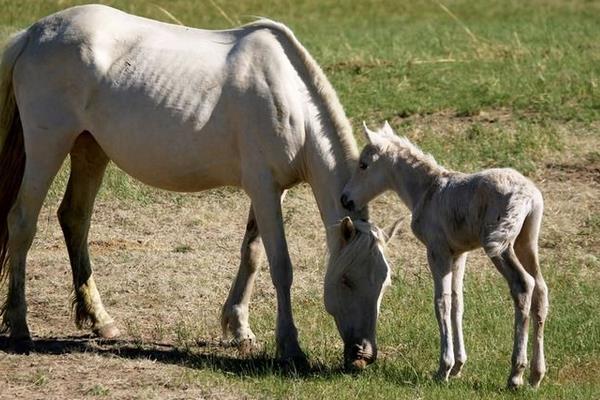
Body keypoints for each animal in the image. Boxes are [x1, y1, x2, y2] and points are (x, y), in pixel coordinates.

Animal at [0, 5, 394, 368]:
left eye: (384, 282)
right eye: (347, 280)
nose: (363, 355)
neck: (289, 97)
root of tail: (34, 33)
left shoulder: (269, 191)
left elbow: (251, 254)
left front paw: (239, 329)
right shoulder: (264, 189)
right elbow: (281, 265)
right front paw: (290, 347)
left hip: (90, 148)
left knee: (75, 218)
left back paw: (101, 321)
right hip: (48, 145)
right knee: (22, 222)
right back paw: (20, 327)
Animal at [340, 122, 548, 388]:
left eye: (364, 165)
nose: (346, 199)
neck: (427, 190)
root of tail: (527, 196)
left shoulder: (437, 251)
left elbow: (442, 302)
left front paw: (444, 368)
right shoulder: (458, 254)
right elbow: (458, 302)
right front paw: (459, 366)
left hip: (501, 247)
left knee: (523, 285)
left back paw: (516, 374)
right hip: (526, 242)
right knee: (541, 290)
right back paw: (536, 375)